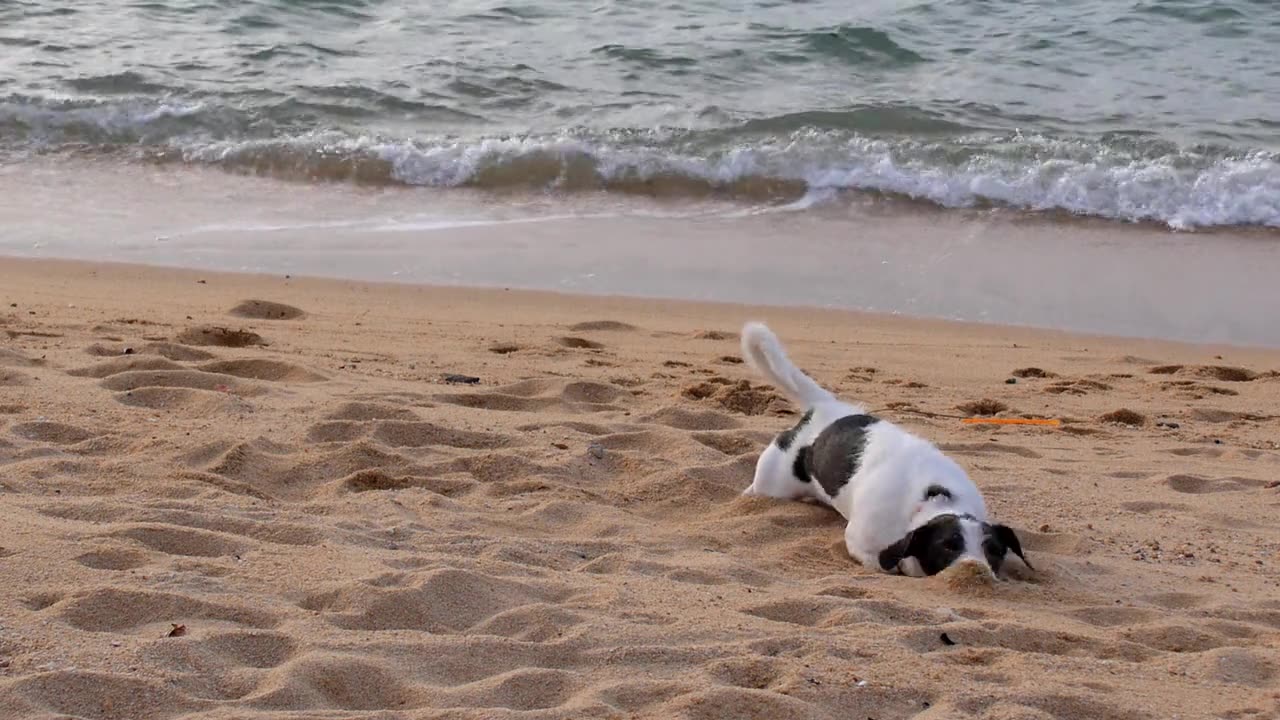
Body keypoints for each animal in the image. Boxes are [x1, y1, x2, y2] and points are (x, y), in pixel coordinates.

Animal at [742, 320, 1029, 576]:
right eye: (947, 546)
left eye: (994, 551)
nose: (976, 570)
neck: (930, 499)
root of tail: (826, 406)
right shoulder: (861, 544)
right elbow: (885, 563)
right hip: (774, 482)